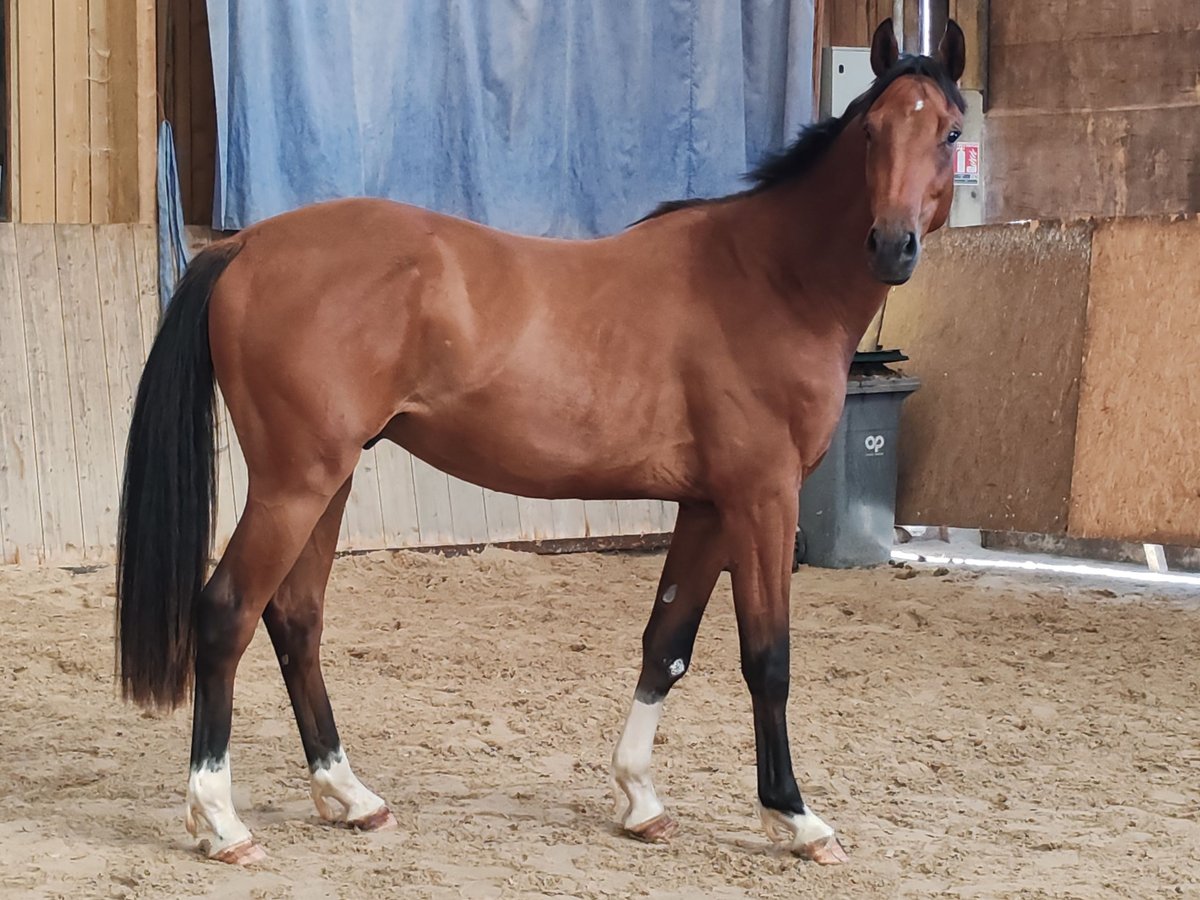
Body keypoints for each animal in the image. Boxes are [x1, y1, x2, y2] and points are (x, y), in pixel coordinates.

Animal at [117, 19, 964, 868]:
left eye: (950, 132)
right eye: (872, 129)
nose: (892, 244)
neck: (768, 280)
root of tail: (245, 246)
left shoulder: (707, 506)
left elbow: (667, 645)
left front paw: (640, 799)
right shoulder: (762, 499)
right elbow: (769, 659)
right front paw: (795, 817)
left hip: (328, 482)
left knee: (295, 619)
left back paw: (350, 797)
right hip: (296, 483)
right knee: (227, 613)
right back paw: (221, 822)